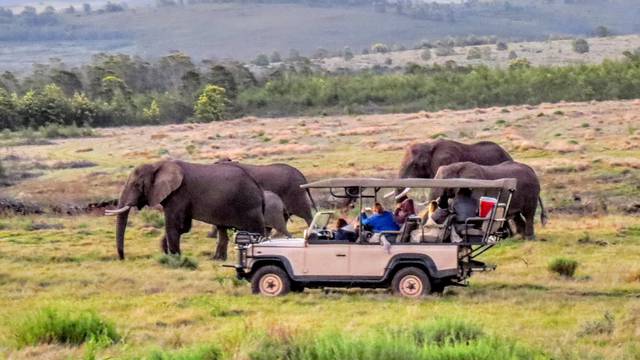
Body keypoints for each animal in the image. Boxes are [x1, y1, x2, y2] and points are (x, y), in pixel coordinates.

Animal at [107, 162, 264, 260]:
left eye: (136, 185)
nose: (123, 258)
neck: (157, 165)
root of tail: (258, 189)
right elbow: (183, 227)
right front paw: (167, 252)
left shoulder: (178, 194)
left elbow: (173, 225)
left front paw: (175, 258)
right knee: (222, 231)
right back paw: (217, 260)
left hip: (249, 207)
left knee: (257, 231)